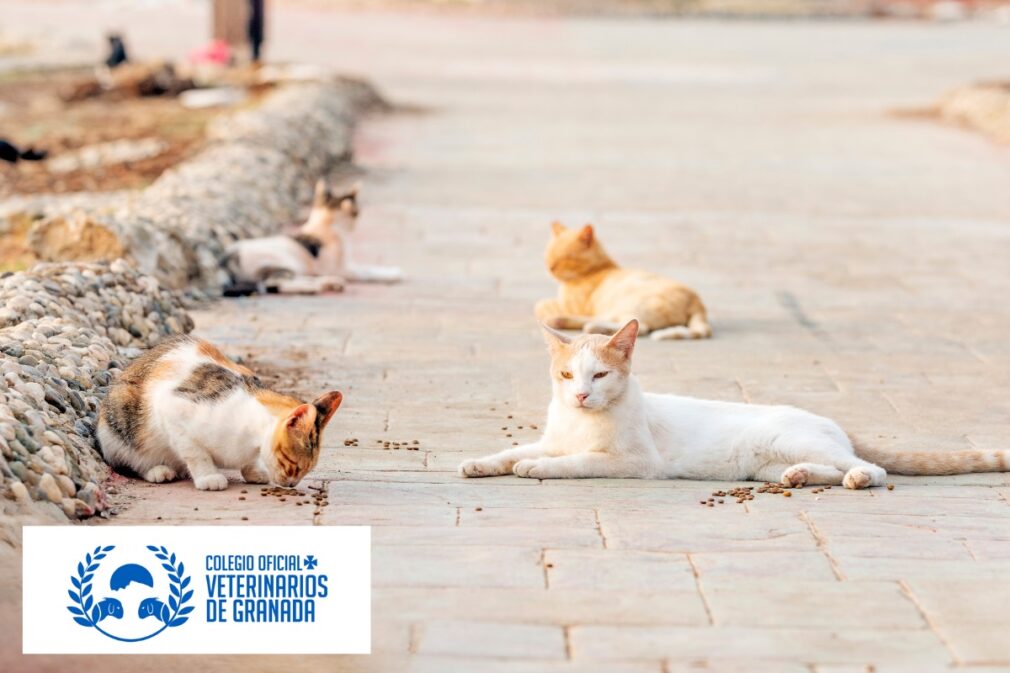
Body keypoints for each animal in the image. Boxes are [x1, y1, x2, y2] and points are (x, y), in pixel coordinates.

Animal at [98, 333, 343, 487]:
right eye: (293, 466)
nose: (292, 485)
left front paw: (254, 471)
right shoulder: (172, 407)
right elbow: (195, 452)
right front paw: (208, 477)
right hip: (118, 420)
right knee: (130, 459)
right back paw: (158, 470)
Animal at [221, 177, 401, 293]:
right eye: (357, 212)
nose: (356, 222)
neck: (325, 224)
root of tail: (228, 258)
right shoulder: (344, 268)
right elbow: (370, 270)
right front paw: (394, 274)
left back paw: (328, 283)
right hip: (284, 263)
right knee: (274, 284)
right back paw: (317, 286)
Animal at [462, 319, 1005, 487]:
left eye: (600, 375)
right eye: (566, 375)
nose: (579, 394)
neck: (582, 422)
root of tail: (828, 420)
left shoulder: (635, 462)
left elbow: (575, 463)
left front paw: (538, 470)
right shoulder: (554, 438)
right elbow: (512, 451)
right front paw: (480, 463)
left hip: (795, 438)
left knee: (871, 467)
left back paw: (854, 478)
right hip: (764, 465)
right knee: (827, 468)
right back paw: (800, 478)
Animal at [537, 222, 711, 341]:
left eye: (565, 258)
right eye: (549, 254)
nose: (550, 267)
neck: (599, 268)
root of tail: (696, 300)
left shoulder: (573, 307)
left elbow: (541, 304)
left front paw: (544, 309)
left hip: (632, 303)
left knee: (638, 325)